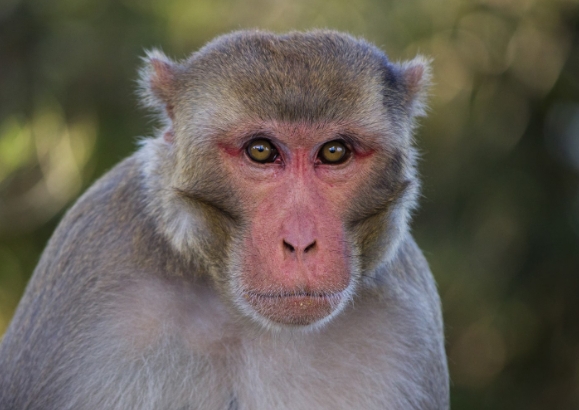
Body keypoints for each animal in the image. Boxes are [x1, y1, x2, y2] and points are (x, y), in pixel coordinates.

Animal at [0, 30, 448, 408]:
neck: (240, 315)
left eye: (334, 152)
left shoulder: (408, 320)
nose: (300, 241)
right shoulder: (90, 265)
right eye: (261, 151)